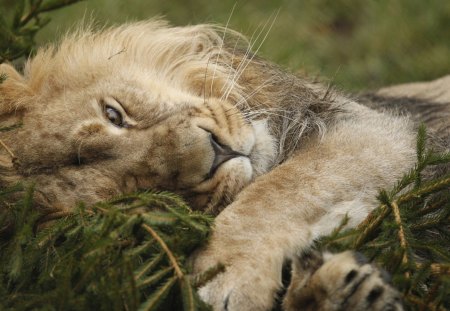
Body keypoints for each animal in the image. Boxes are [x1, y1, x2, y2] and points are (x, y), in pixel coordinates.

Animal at [0, 20, 448, 310]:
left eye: (114, 115)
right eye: (147, 193)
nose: (214, 153)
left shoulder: (385, 131)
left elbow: (277, 190)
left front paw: (229, 278)